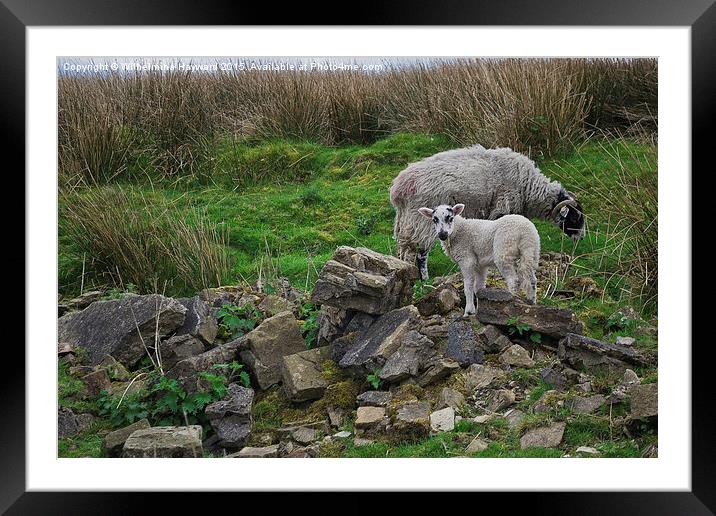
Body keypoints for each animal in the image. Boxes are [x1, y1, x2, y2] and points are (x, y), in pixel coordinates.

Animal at [388, 142, 584, 278]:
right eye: (574, 219)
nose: (580, 238)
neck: (528, 187)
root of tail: (398, 188)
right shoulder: (503, 206)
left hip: (405, 221)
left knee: (403, 249)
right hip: (423, 222)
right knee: (420, 253)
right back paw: (425, 280)